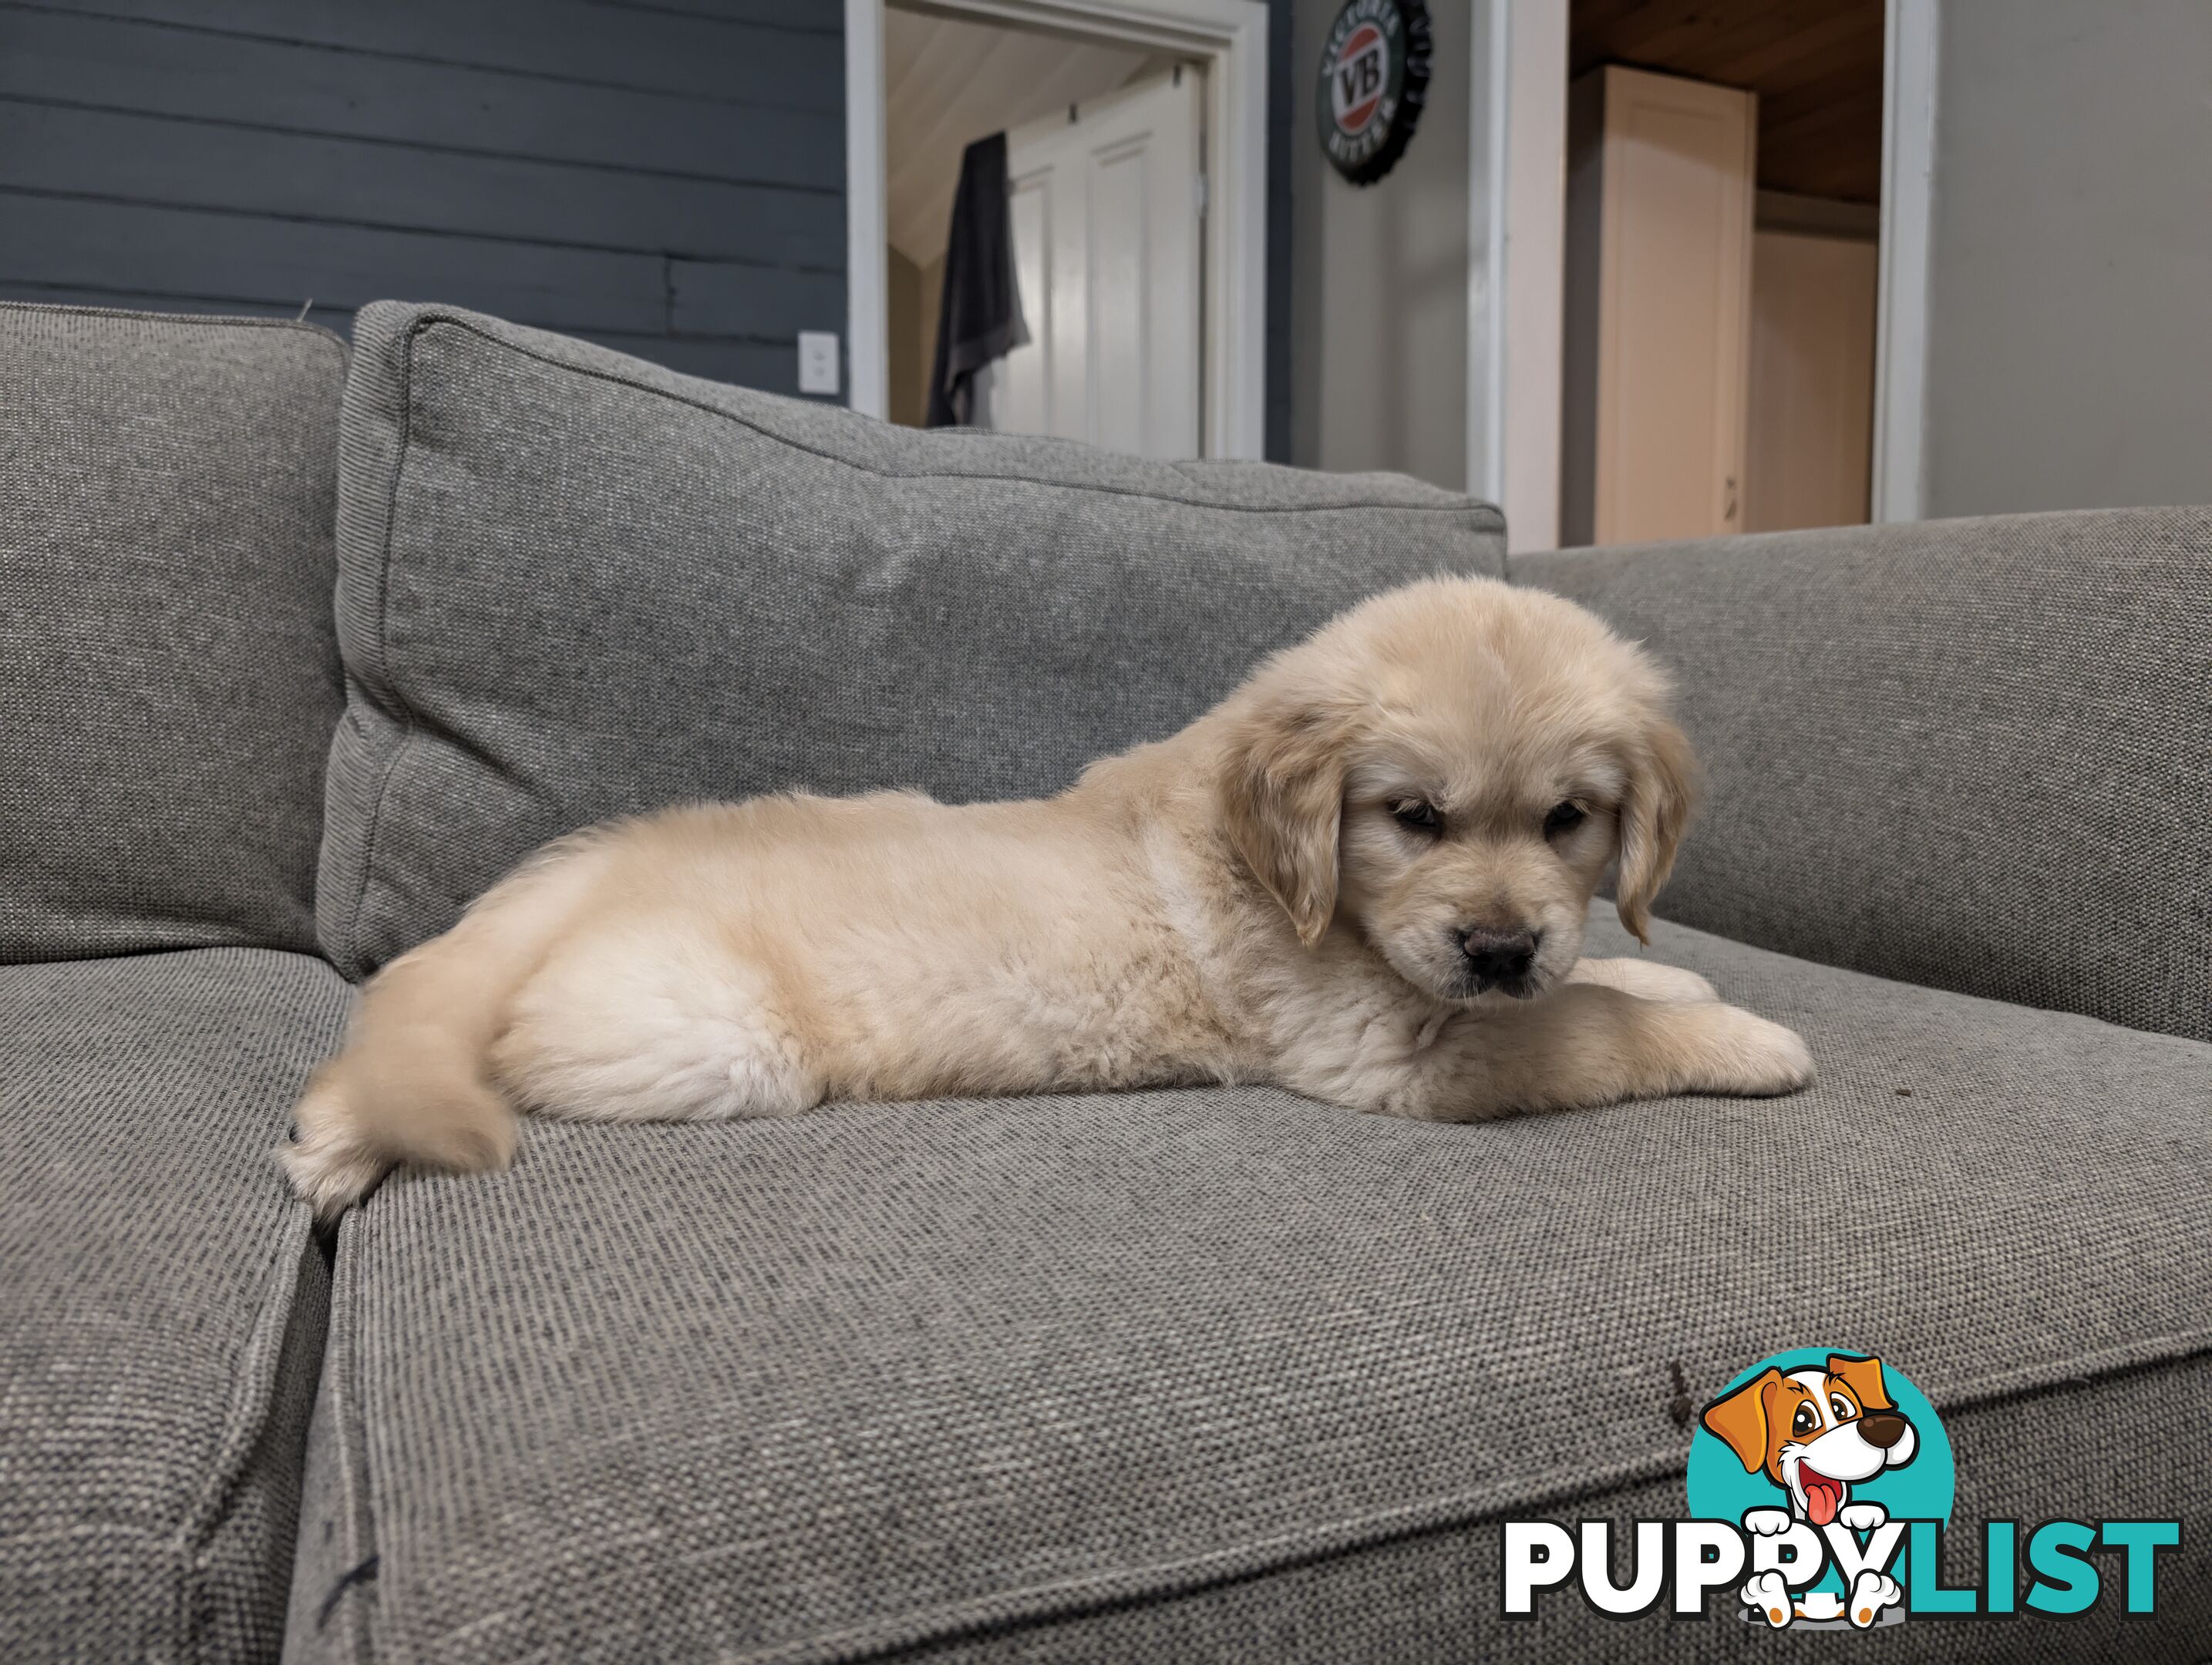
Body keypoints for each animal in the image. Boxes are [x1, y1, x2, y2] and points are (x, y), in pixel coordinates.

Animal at [285, 579, 1813, 1211]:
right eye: (1413, 818)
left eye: (1567, 820)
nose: (1497, 946)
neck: (1276, 867)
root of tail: (585, 865)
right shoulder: (1391, 1052)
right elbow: (1584, 1030)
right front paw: (1743, 1037)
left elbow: (1597, 978)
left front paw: (1666, 967)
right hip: (706, 1042)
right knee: (482, 1054)